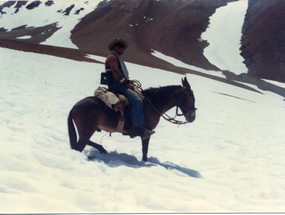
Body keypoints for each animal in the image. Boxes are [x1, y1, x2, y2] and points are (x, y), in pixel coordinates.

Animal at [67, 76, 195, 160]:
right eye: (192, 98)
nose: (193, 117)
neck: (154, 104)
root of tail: (74, 107)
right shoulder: (147, 132)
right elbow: (145, 151)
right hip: (87, 130)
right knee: (80, 145)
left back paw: (102, 149)